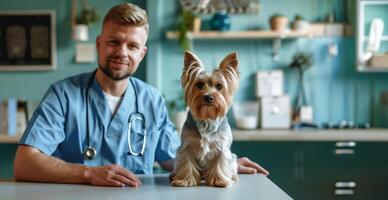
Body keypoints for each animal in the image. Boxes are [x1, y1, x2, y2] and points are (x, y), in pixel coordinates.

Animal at [171, 50, 239, 188]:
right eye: (199, 84)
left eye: (219, 86)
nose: (208, 97)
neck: (207, 119)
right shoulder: (186, 146)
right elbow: (187, 163)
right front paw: (185, 180)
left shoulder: (222, 147)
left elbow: (220, 163)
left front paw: (220, 181)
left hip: (234, 159)